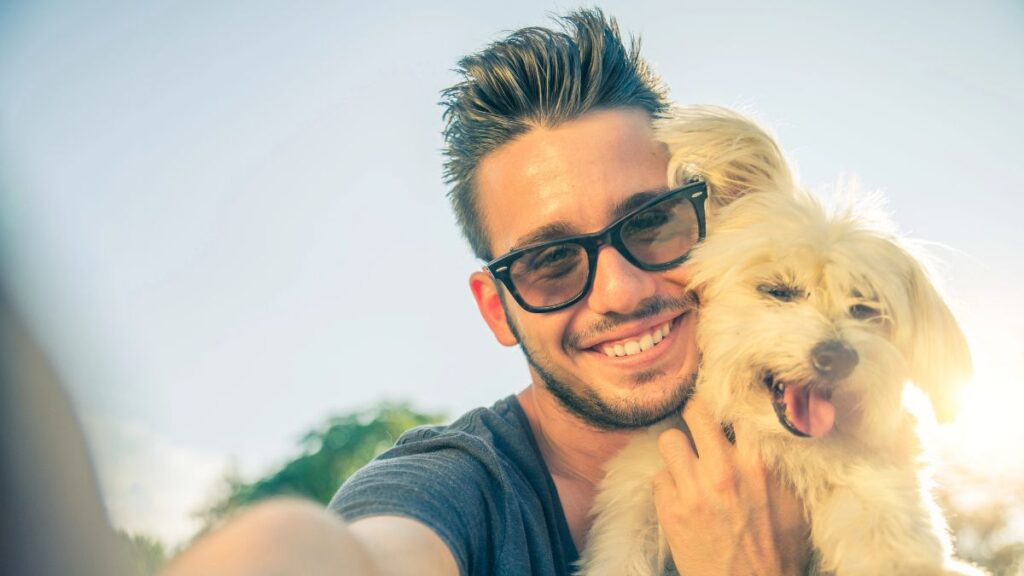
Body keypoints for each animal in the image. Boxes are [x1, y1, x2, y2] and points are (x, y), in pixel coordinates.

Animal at [577, 107, 983, 573]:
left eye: (863, 307)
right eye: (778, 289)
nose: (837, 357)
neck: (787, 450)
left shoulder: (882, 506)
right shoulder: (634, 505)